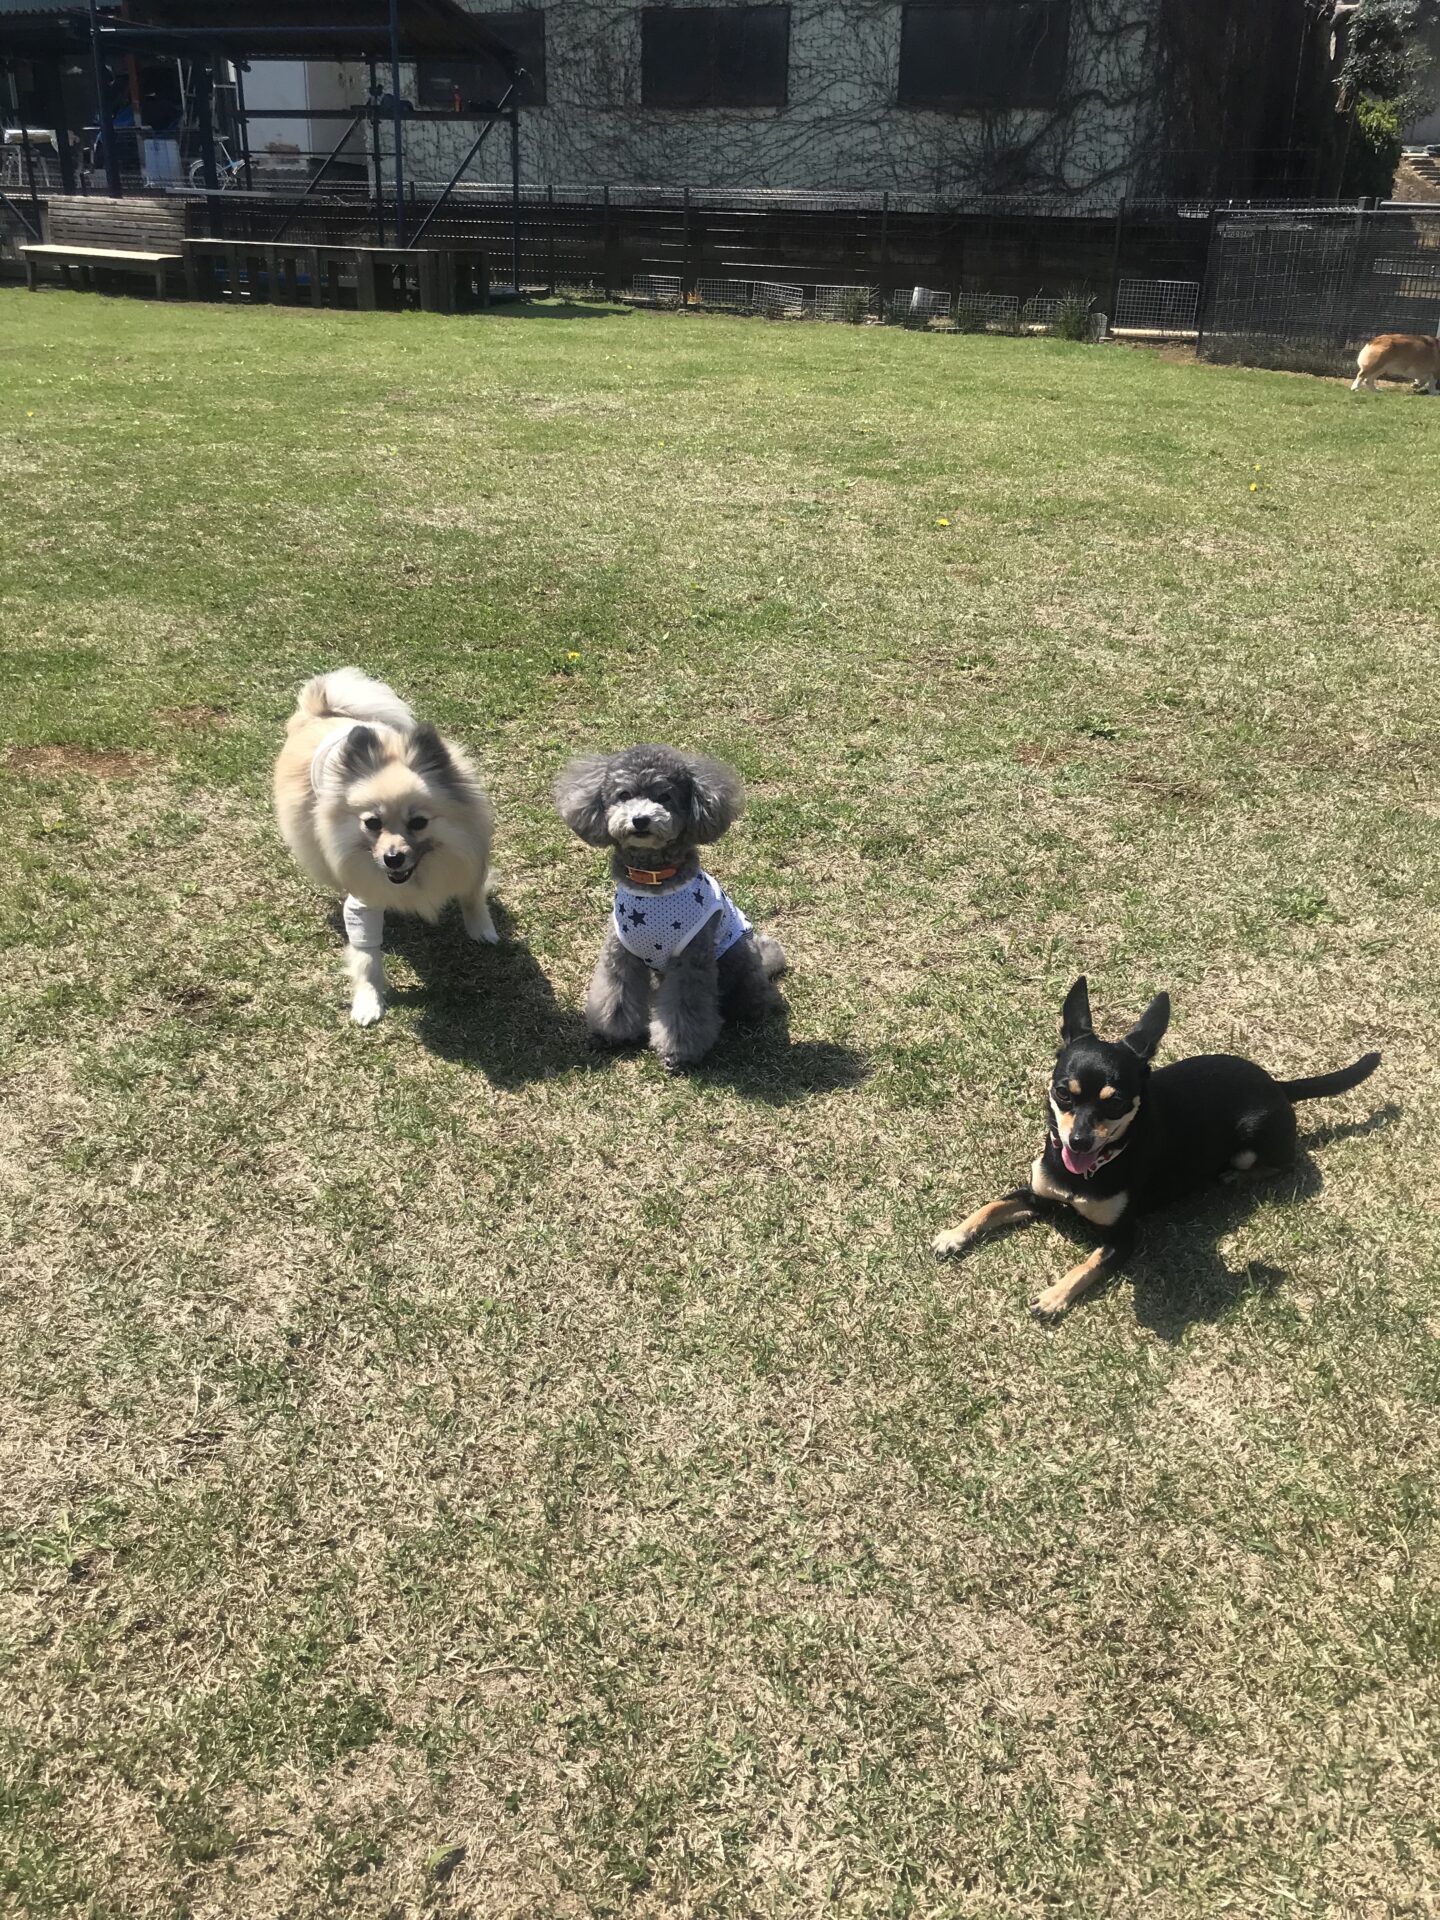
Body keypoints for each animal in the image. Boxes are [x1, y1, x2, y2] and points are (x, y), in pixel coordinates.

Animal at [273, 668, 497, 1026]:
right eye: (372, 823)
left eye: (418, 822)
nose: (393, 858)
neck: (420, 875)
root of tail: (319, 713)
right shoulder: (364, 902)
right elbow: (367, 957)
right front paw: (368, 1001)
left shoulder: (471, 861)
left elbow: (473, 895)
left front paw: (482, 930)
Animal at [554, 745, 786, 1070]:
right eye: (624, 795)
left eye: (664, 796)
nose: (640, 820)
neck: (653, 880)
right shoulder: (620, 951)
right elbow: (616, 992)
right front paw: (612, 1035)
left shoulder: (691, 960)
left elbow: (684, 1008)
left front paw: (678, 1052)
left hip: (737, 959)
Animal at [933, 976, 1380, 1321]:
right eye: (1063, 1093)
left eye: (1115, 1102)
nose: (1078, 1141)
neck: (1093, 1169)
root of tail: (1278, 1085)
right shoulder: (1038, 1196)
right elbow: (991, 1206)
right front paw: (954, 1234)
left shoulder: (1124, 1238)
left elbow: (1088, 1264)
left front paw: (1055, 1295)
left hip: (1253, 1142)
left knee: (1282, 1163)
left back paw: (1236, 1177)